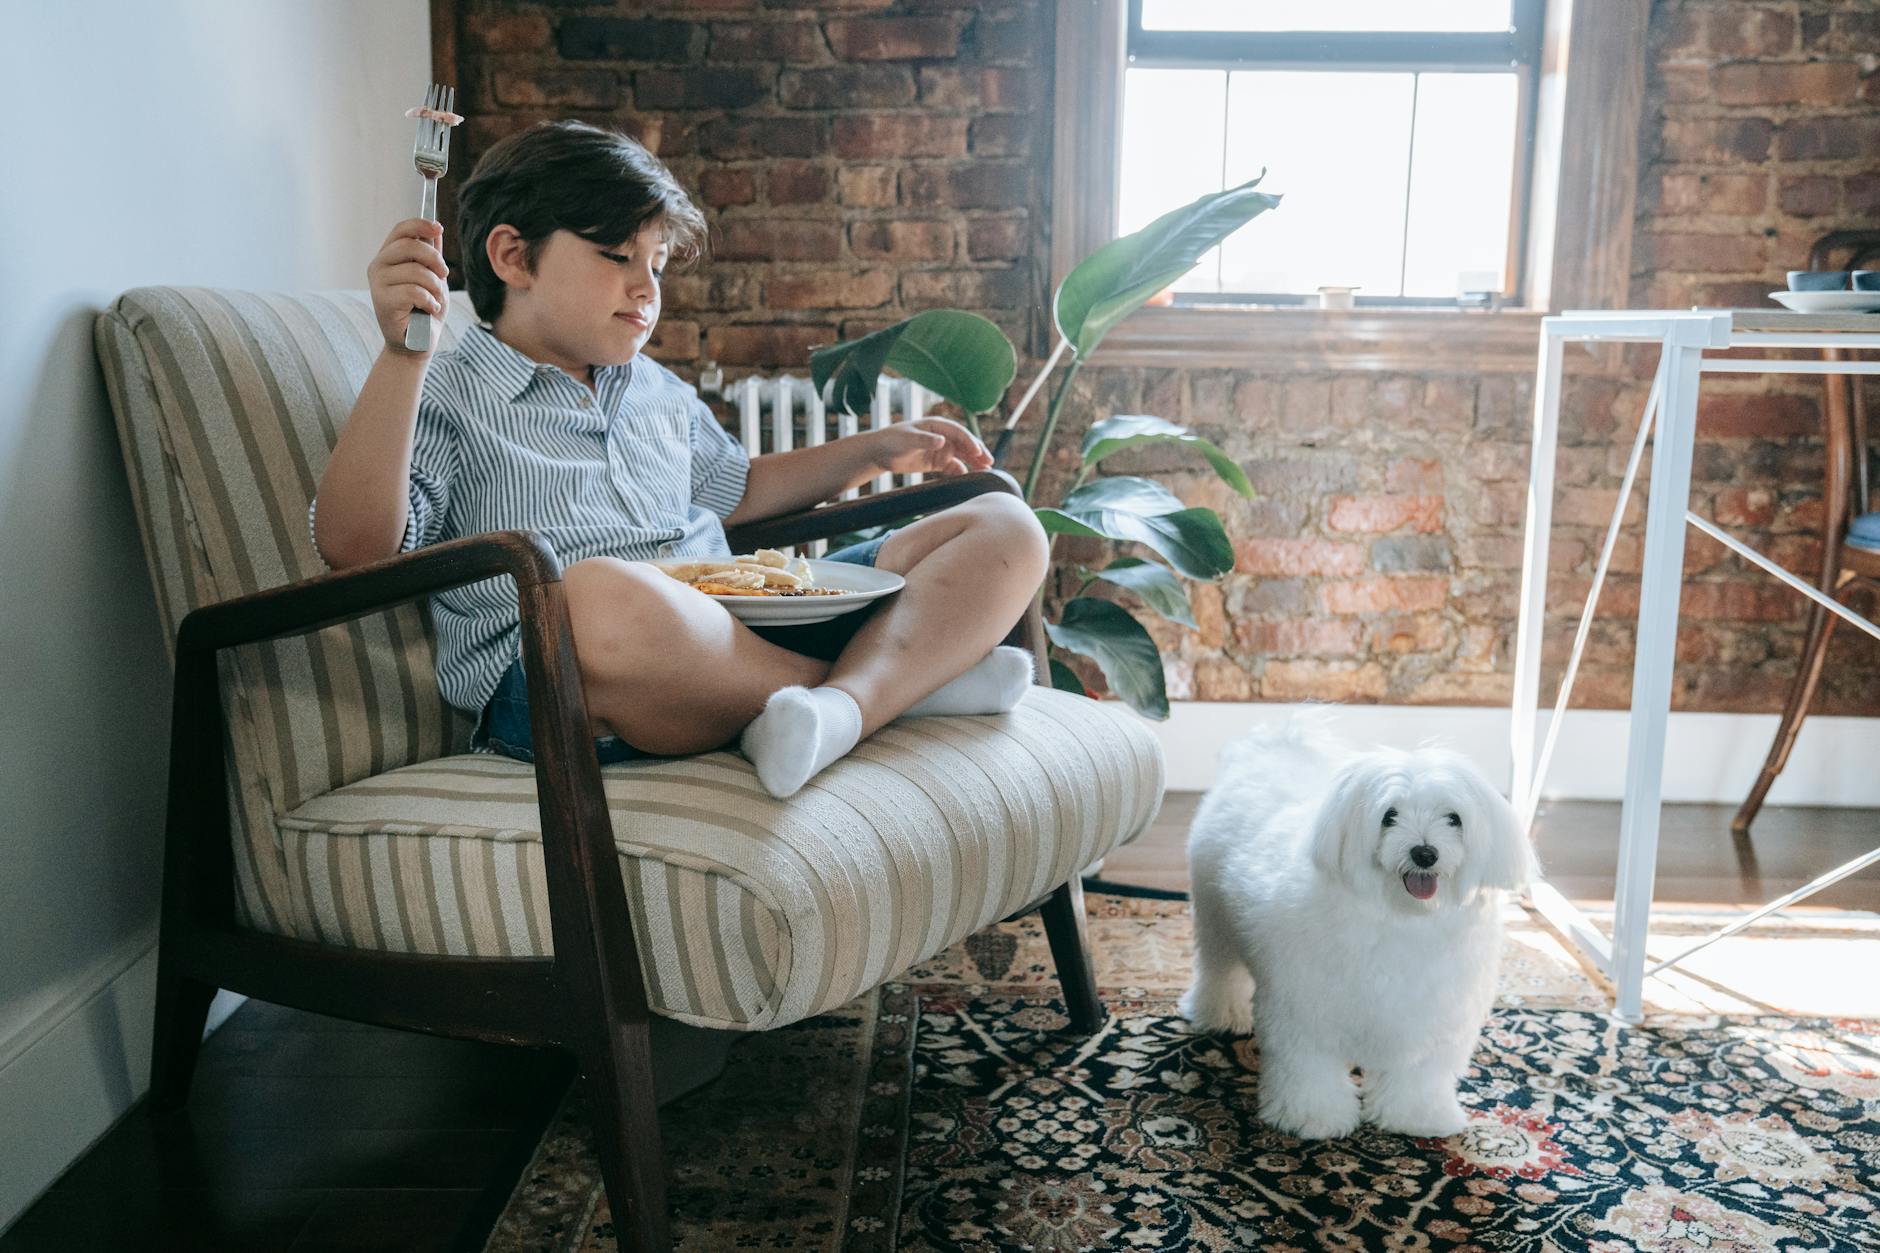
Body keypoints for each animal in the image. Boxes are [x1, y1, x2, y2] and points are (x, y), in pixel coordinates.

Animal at [1180, 711, 1534, 1128]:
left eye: (1454, 818)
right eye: (1389, 816)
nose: (1424, 853)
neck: (1401, 917)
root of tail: (1273, 748)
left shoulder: (1433, 1017)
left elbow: (1420, 1076)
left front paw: (1417, 1116)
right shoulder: (1304, 1008)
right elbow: (1308, 1067)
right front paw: (1312, 1117)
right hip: (1214, 916)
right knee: (1219, 969)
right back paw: (1221, 1012)